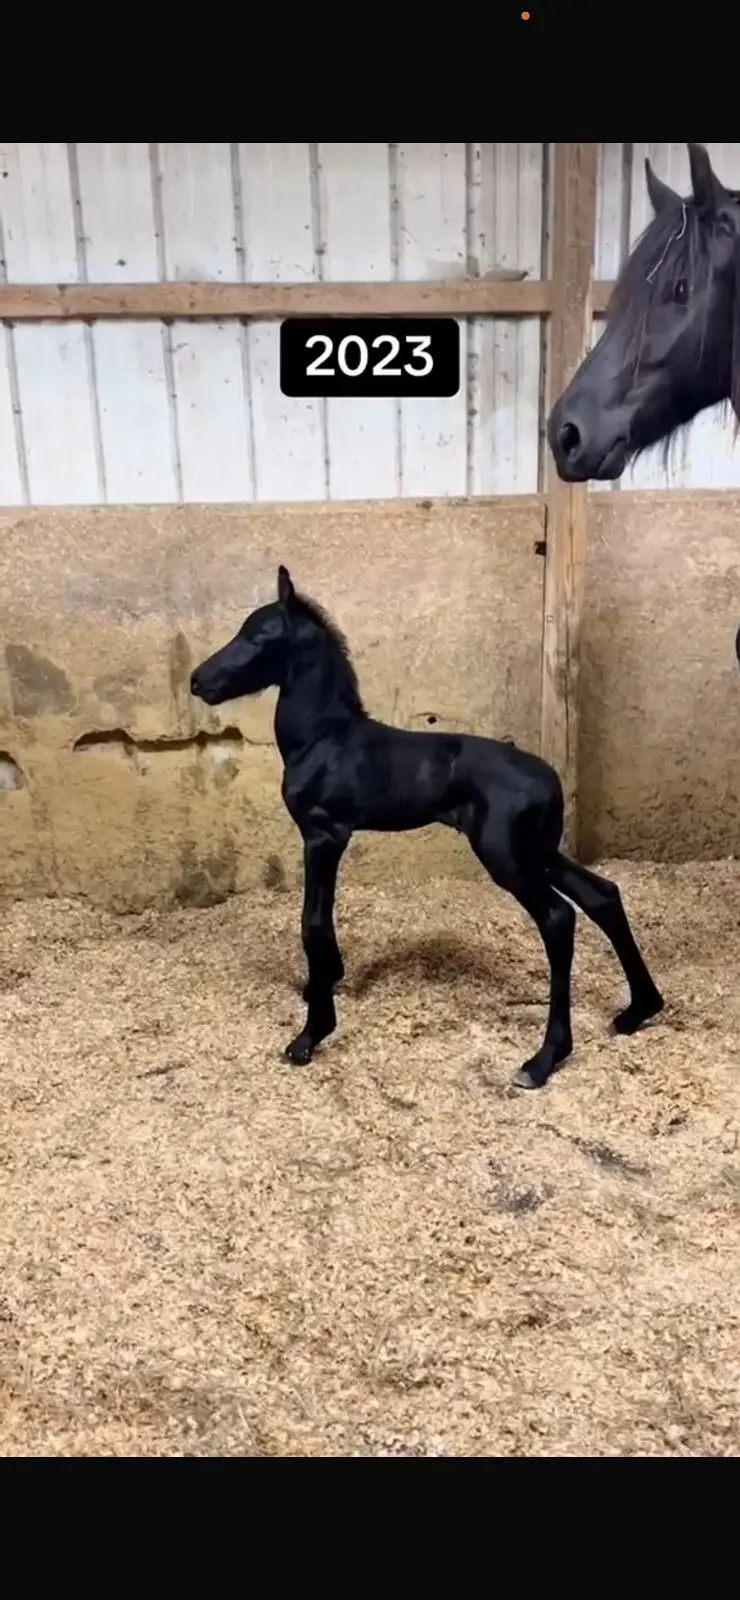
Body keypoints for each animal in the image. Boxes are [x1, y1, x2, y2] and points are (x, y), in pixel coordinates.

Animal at [189, 565, 664, 1090]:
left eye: (257, 636)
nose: (197, 680)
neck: (324, 739)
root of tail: (551, 780)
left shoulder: (323, 834)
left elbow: (312, 921)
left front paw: (311, 1034)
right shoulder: (330, 838)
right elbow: (323, 919)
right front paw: (326, 982)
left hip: (506, 856)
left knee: (559, 917)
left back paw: (542, 1061)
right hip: (538, 851)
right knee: (602, 894)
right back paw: (638, 1010)